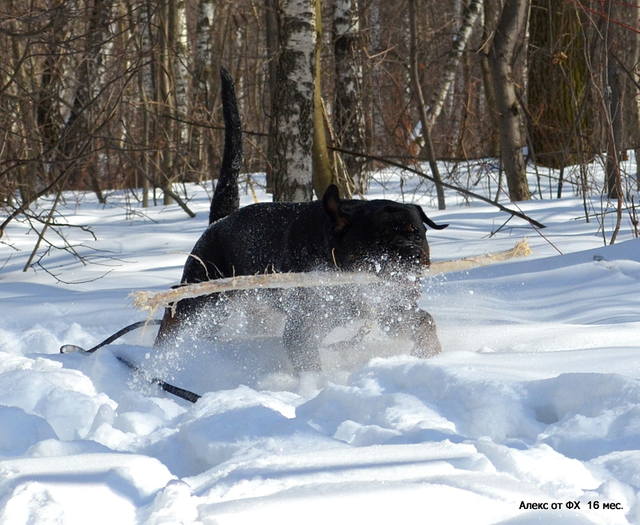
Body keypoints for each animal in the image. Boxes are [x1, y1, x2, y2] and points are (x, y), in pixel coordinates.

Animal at [157, 68, 448, 372]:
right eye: (378, 242)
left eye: (417, 233)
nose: (411, 253)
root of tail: (218, 222)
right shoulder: (302, 328)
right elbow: (309, 363)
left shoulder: (390, 308)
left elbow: (423, 322)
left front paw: (432, 354)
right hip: (201, 293)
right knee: (173, 317)